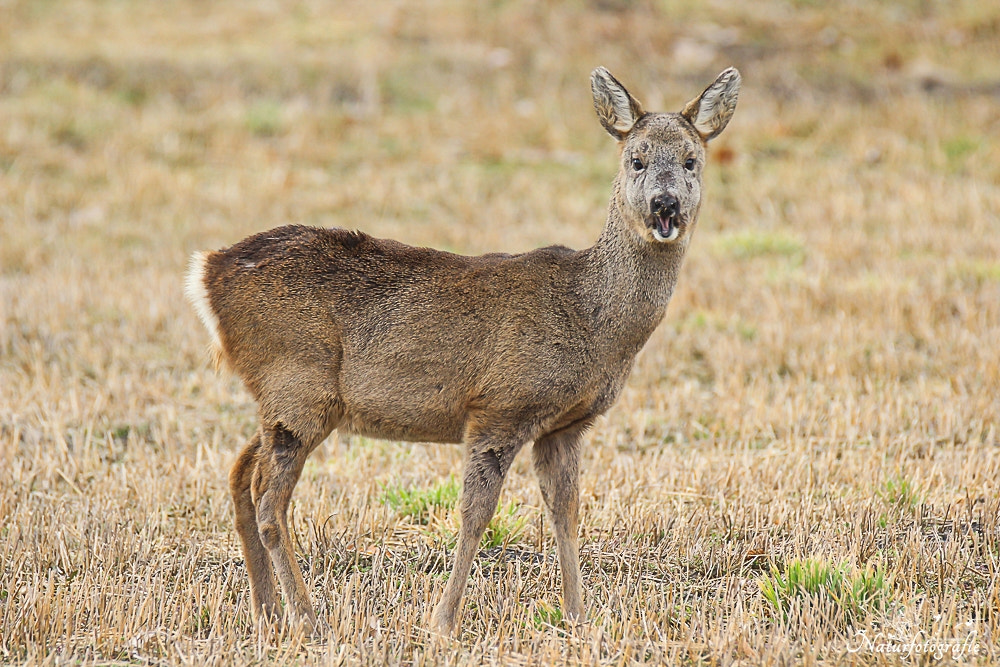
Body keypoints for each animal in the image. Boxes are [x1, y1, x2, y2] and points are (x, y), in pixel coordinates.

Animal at [185, 66, 740, 636]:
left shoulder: (565, 426)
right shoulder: (499, 406)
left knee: (240, 474)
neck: (592, 316)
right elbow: (476, 515)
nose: (664, 205)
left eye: (691, 159)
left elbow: (565, 514)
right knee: (270, 499)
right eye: (637, 158)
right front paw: (443, 621)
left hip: (286, 397)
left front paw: (577, 618)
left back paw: (268, 612)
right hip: (298, 383)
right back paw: (308, 617)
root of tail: (208, 272)